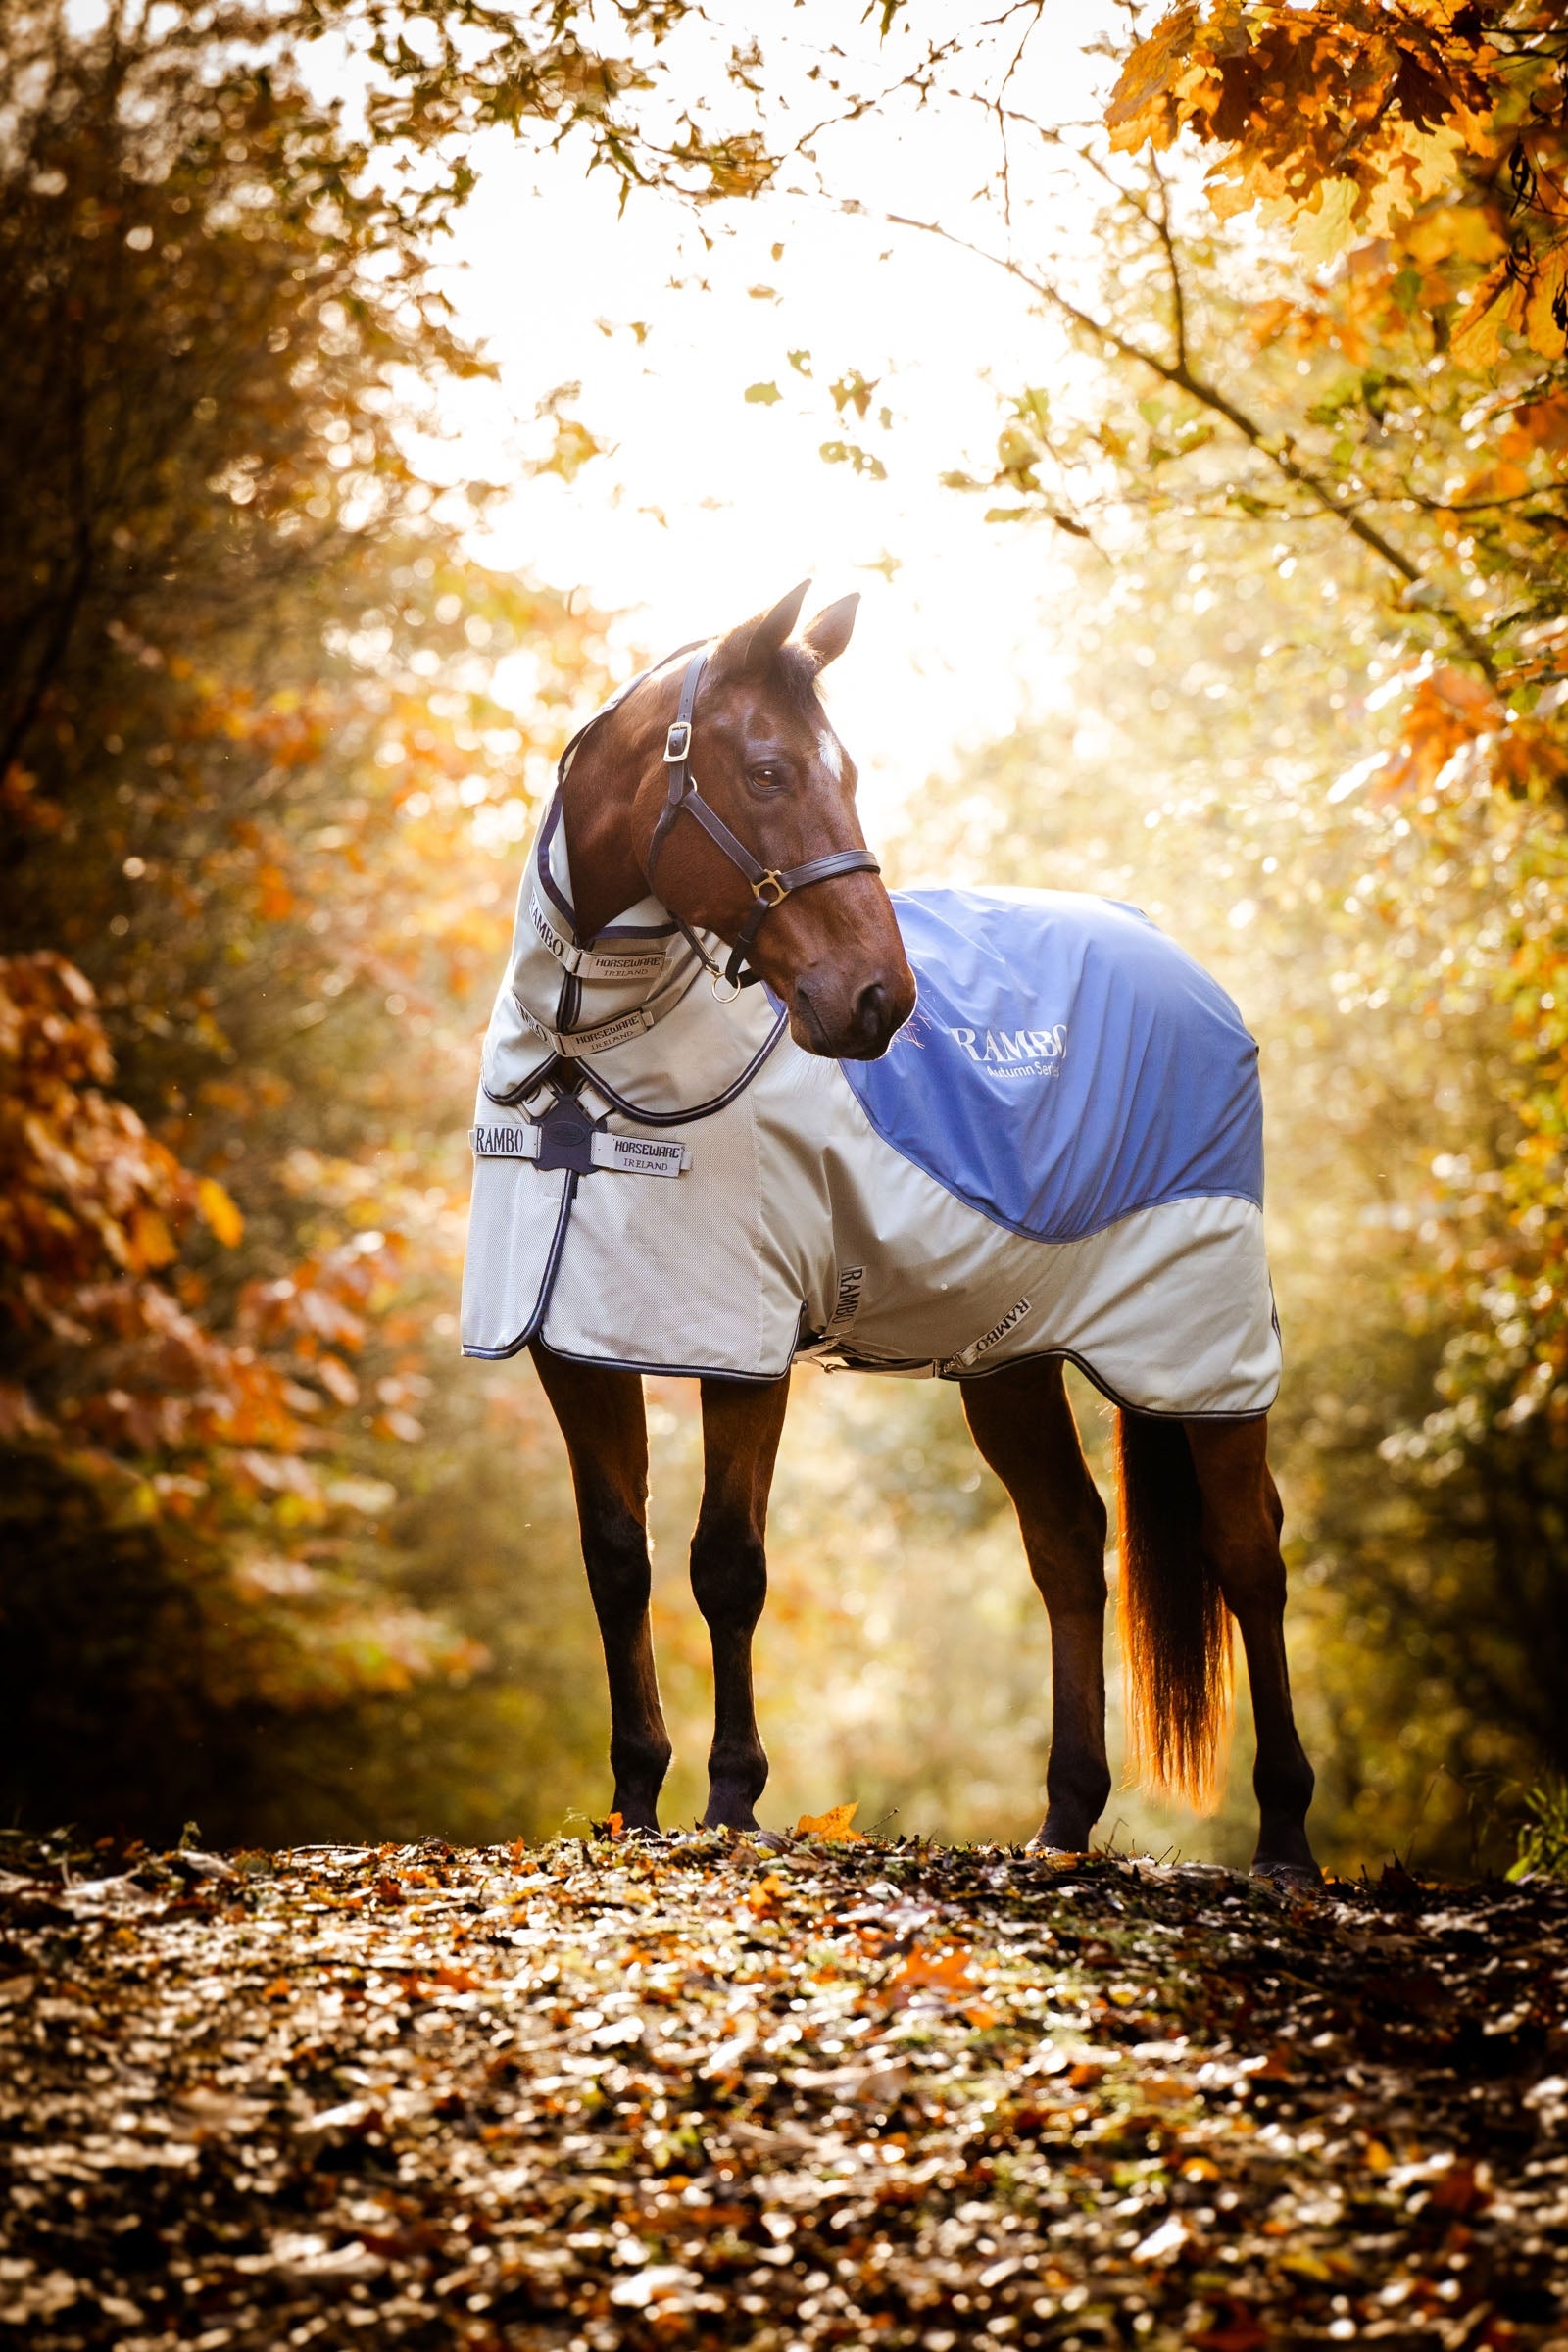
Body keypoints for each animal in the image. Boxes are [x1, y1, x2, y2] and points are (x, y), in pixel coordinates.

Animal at [462, 581, 1319, 1883]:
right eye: (767, 772)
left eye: (847, 773)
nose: (880, 1002)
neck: (586, 1059)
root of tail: (1188, 973)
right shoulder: (574, 1340)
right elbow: (618, 1556)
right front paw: (635, 1801)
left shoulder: (741, 1346)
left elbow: (726, 1563)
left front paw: (732, 1798)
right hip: (1011, 1357)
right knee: (1067, 1543)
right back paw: (1060, 1823)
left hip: (1199, 1351)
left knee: (1245, 1555)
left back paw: (1284, 1837)